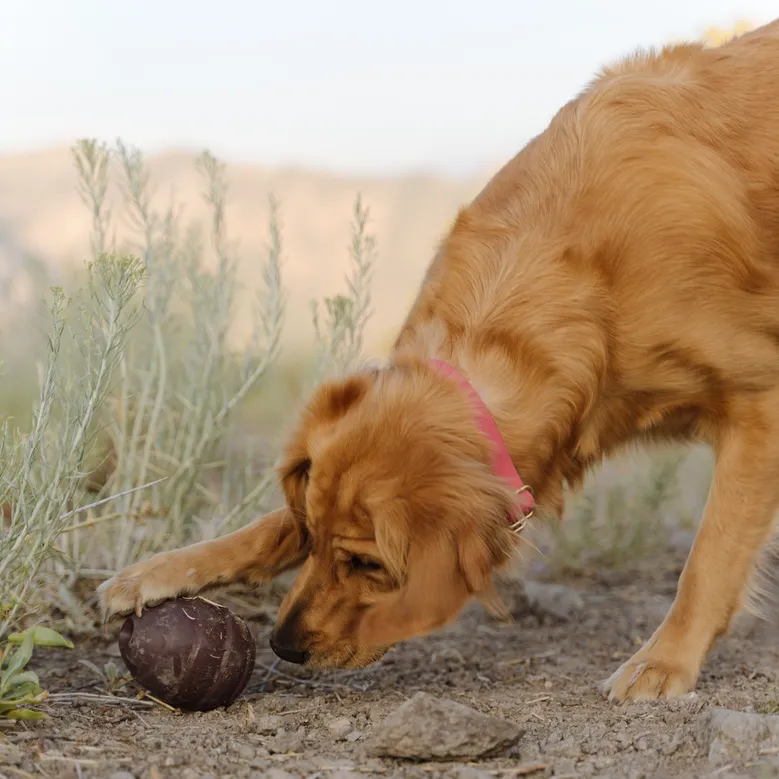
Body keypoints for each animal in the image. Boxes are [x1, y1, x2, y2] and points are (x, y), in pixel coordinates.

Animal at [100, 18, 779, 704]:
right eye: (313, 535)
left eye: (368, 563)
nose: (284, 646)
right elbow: (268, 524)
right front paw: (167, 568)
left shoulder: (761, 407)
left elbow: (710, 557)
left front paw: (663, 660)